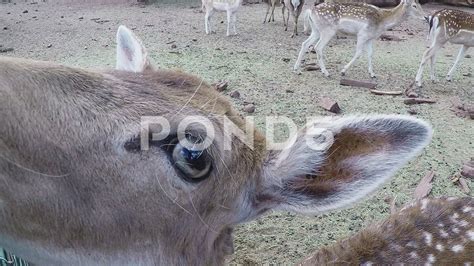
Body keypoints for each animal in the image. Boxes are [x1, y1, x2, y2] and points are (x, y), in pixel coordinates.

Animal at [296, 0, 426, 77]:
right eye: (414, 5)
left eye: (420, 4)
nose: (425, 17)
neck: (384, 21)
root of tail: (310, 11)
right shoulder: (362, 34)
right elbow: (358, 53)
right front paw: (343, 70)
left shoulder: (370, 38)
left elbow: (370, 54)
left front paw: (372, 73)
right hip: (328, 30)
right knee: (318, 47)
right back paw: (326, 72)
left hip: (316, 30)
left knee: (305, 44)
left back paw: (296, 69)